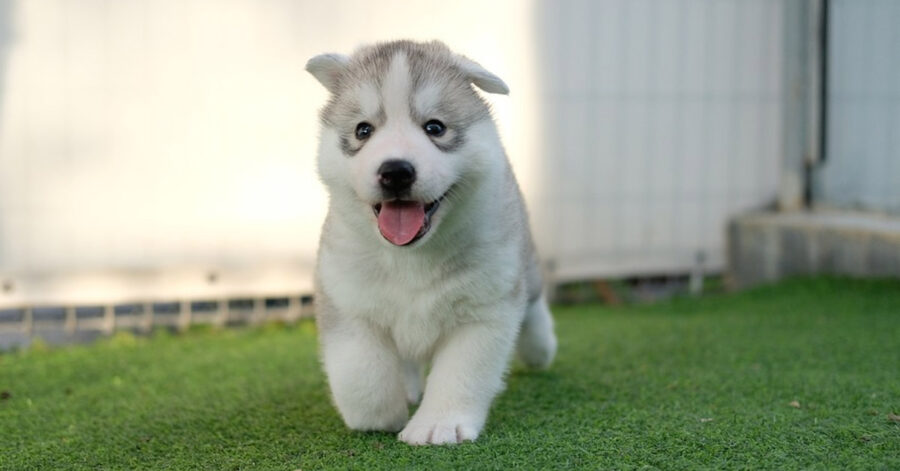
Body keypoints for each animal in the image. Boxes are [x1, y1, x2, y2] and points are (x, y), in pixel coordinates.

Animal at [306, 40, 556, 446]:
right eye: (363, 130)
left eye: (435, 127)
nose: (395, 171)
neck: (411, 257)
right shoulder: (347, 298)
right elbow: (361, 373)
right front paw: (380, 416)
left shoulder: (484, 309)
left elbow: (461, 373)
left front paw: (438, 425)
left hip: (524, 267)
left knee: (534, 303)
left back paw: (540, 348)